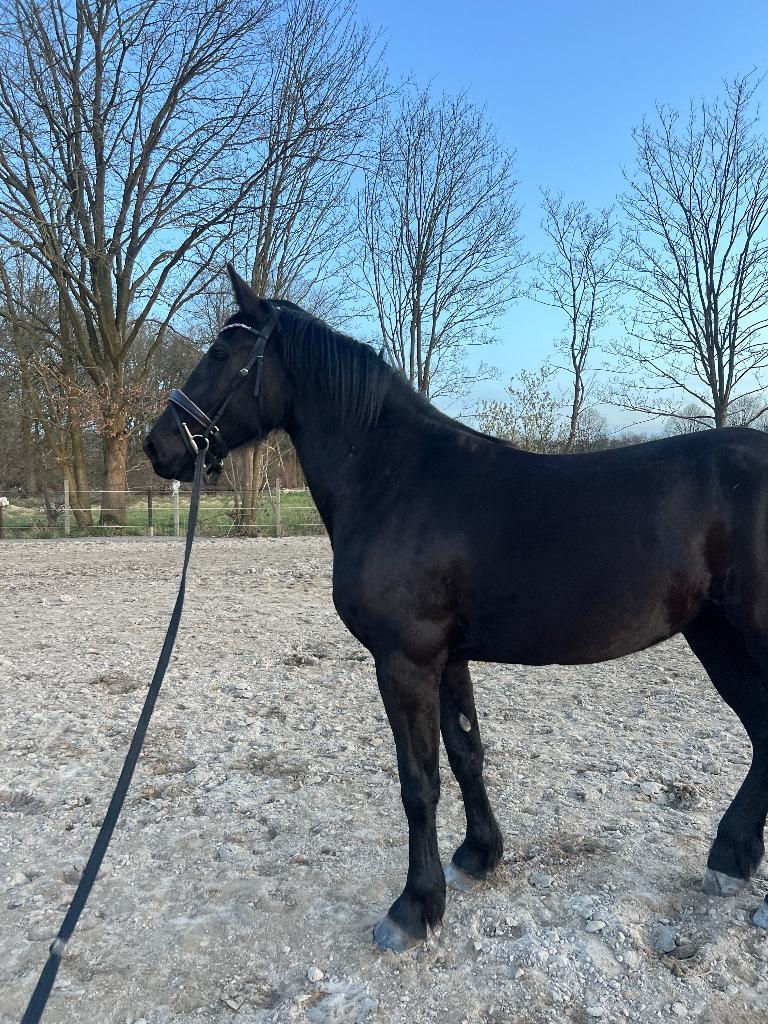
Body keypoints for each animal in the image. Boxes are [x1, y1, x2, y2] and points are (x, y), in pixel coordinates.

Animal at [144, 266, 768, 951]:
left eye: (219, 353)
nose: (157, 446)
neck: (395, 480)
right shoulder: (447, 658)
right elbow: (466, 753)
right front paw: (478, 855)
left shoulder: (404, 661)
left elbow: (419, 781)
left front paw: (415, 908)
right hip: (717, 637)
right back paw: (731, 858)